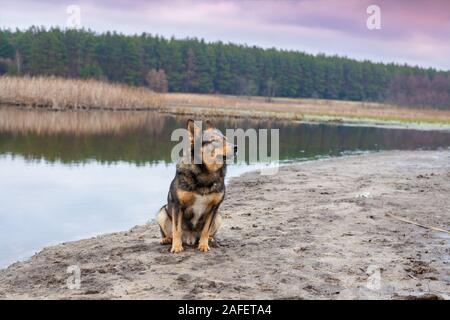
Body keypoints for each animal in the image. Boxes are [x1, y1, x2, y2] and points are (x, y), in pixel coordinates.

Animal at [156, 119, 237, 254]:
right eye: (214, 140)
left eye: (225, 138)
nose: (236, 147)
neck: (206, 173)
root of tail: (190, 238)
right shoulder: (178, 205)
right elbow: (176, 229)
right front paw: (176, 247)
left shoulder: (214, 207)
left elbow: (206, 229)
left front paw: (203, 245)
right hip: (162, 212)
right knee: (169, 232)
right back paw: (167, 239)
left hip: (219, 216)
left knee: (209, 232)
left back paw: (210, 239)